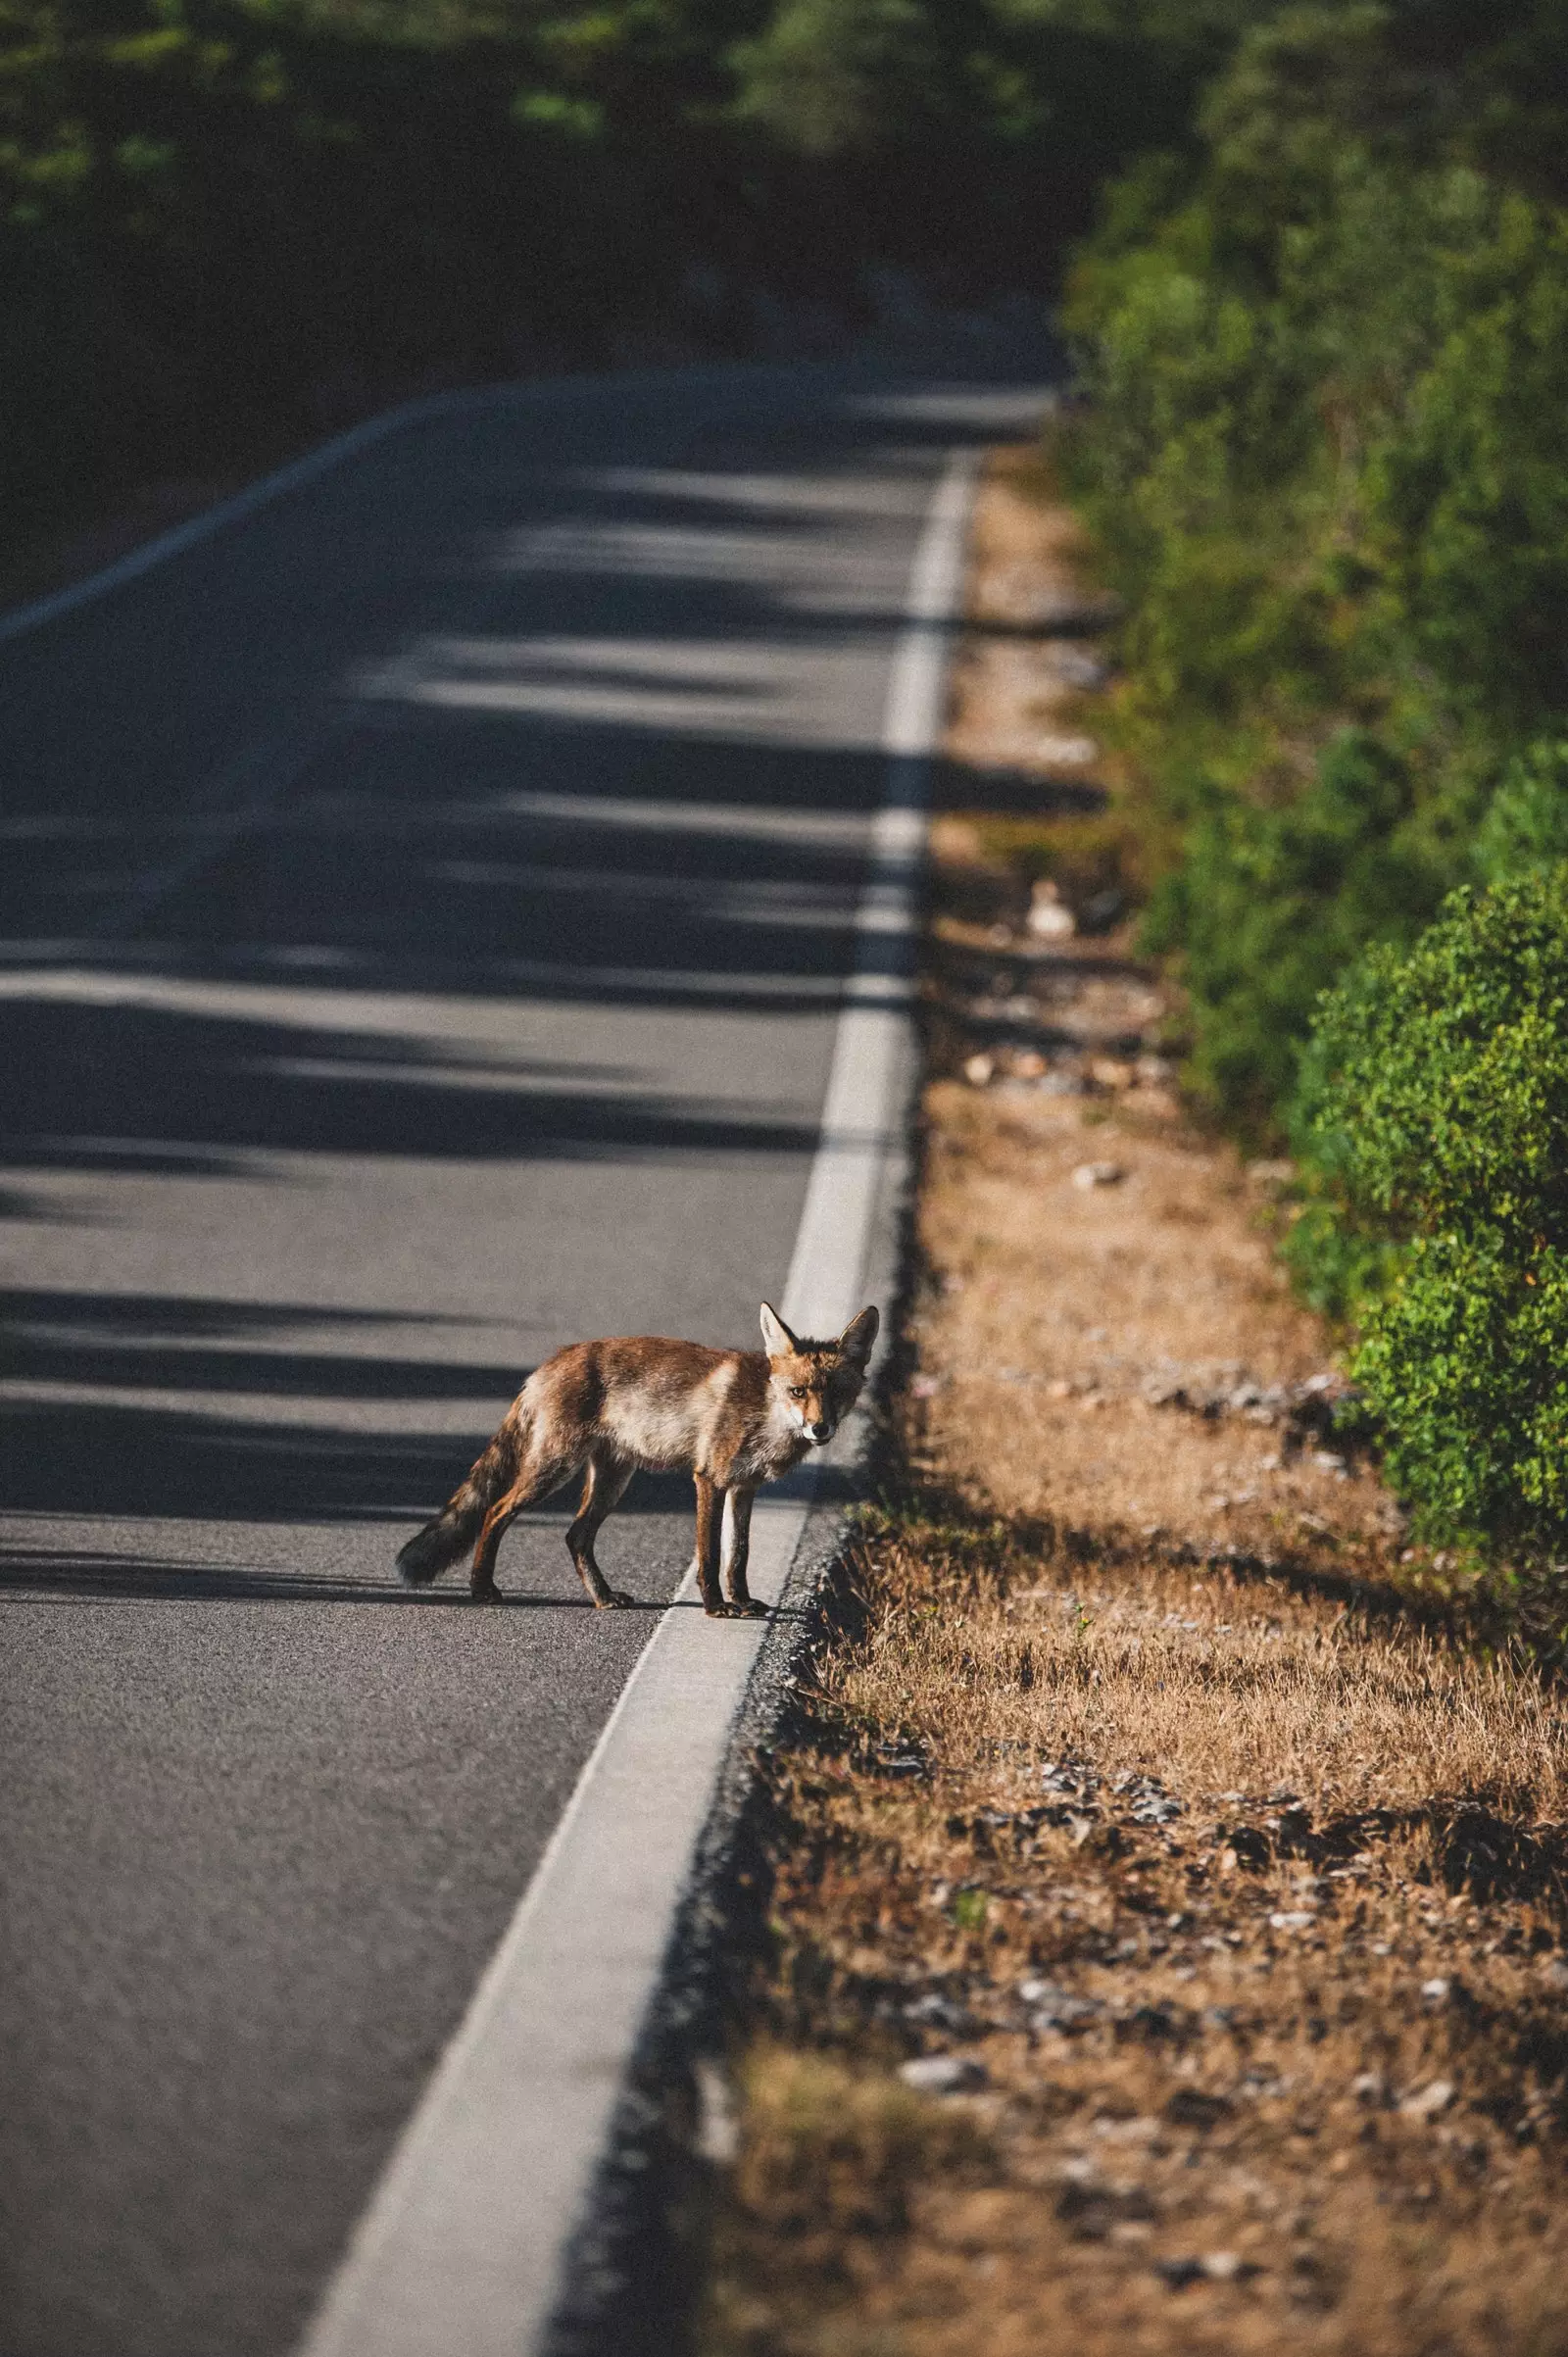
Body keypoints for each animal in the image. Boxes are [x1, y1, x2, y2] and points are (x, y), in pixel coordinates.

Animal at [393, 1301, 881, 1612]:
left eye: (836, 1394)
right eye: (798, 1392)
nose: (819, 1429)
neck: (765, 1411)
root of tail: (552, 1361)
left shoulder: (745, 1486)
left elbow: (739, 1554)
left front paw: (741, 1601)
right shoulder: (709, 1479)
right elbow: (710, 1554)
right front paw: (716, 1607)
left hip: (612, 1480)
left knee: (575, 1536)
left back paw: (603, 1598)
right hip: (555, 1468)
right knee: (495, 1511)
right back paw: (482, 1588)